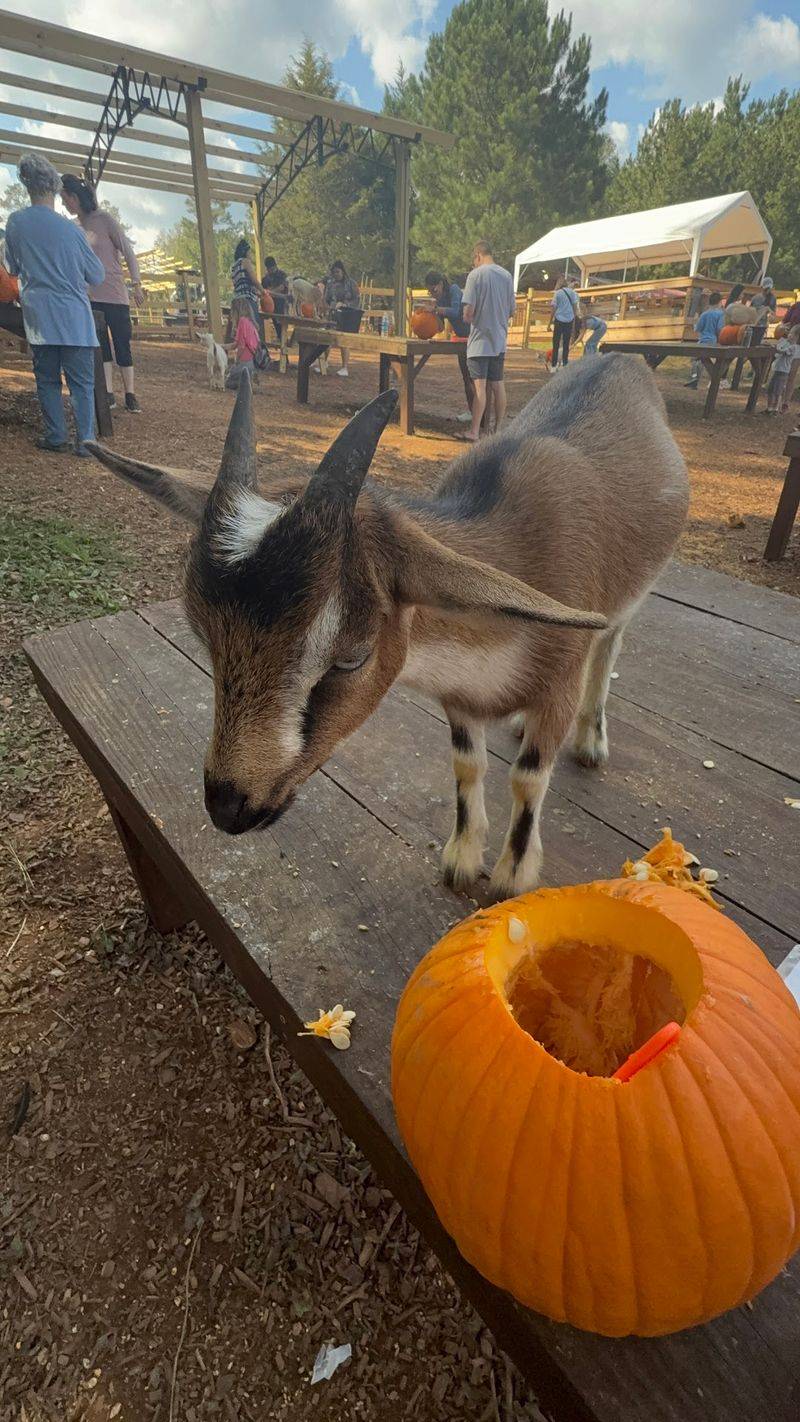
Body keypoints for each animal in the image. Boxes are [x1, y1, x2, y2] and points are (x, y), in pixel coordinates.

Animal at [85, 355, 688, 898]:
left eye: (352, 656)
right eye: (204, 637)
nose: (229, 806)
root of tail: (622, 359)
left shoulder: (560, 680)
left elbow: (528, 776)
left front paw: (512, 876)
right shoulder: (460, 698)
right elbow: (467, 764)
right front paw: (462, 858)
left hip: (628, 604)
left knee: (609, 648)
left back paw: (590, 740)